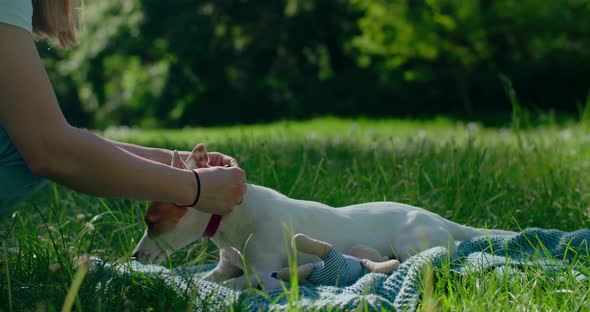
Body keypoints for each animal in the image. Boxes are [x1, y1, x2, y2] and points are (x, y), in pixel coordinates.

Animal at [132, 144, 516, 288]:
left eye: (152, 222)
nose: (133, 256)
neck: (232, 225)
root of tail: (438, 217)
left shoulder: (261, 273)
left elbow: (231, 284)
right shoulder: (227, 265)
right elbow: (209, 277)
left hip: (411, 242)